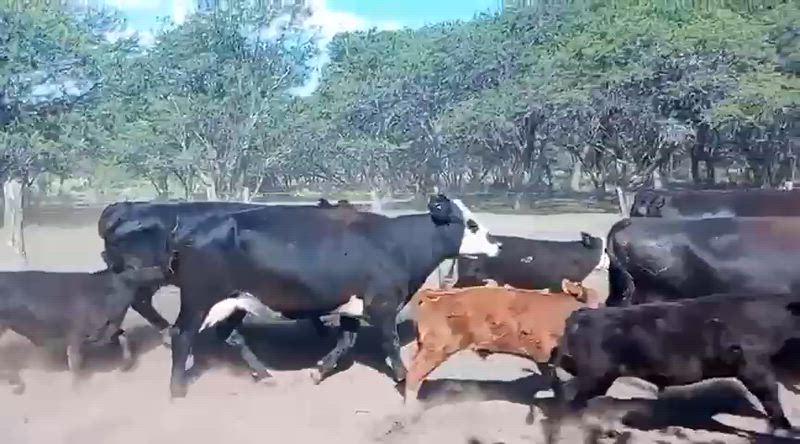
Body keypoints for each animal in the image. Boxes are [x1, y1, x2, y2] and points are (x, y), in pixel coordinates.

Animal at [0, 266, 165, 394]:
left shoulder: (107, 329)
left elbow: (124, 337)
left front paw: (126, 365)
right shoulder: (76, 335)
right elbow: (75, 361)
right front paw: (77, 388)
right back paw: (16, 383)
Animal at [164, 194, 502, 398]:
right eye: (471, 224)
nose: (498, 244)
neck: (396, 244)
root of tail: (190, 230)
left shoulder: (354, 307)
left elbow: (346, 342)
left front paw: (319, 371)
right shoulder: (382, 304)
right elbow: (390, 343)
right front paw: (406, 379)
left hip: (235, 301)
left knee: (230, 335)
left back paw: (264, 375)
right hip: (198, 299)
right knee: (181, 335)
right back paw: (177, 390)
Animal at [549, 292, 800, 440]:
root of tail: (584, 314)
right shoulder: (754, 367)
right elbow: (771, 397)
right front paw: (786, 429)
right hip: (595, 377)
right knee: (570, 401)